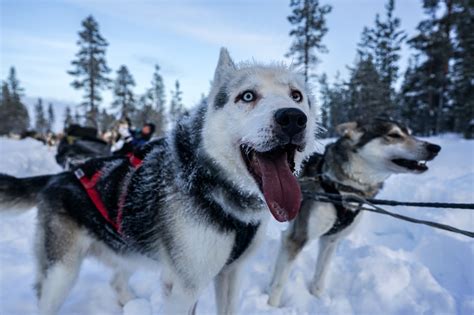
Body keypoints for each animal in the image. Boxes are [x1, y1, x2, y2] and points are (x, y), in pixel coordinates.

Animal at [0, 48, 318, 315]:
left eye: (296, 96)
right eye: (248, 96)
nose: (293, 118)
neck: (214, 189)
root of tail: (61, 176)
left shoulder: (231, 273)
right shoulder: (184, 288)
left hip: (129, 248)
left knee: (117, 281)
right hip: (61, 275)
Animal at [266, 119, 440, 308]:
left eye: (409, 133)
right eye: (394, 135)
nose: (435, 147)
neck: (341, 188)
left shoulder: (330, 240)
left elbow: (320, 277)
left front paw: (319, 300)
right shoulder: (297, 238)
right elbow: (279, 284)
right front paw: (271, 307)